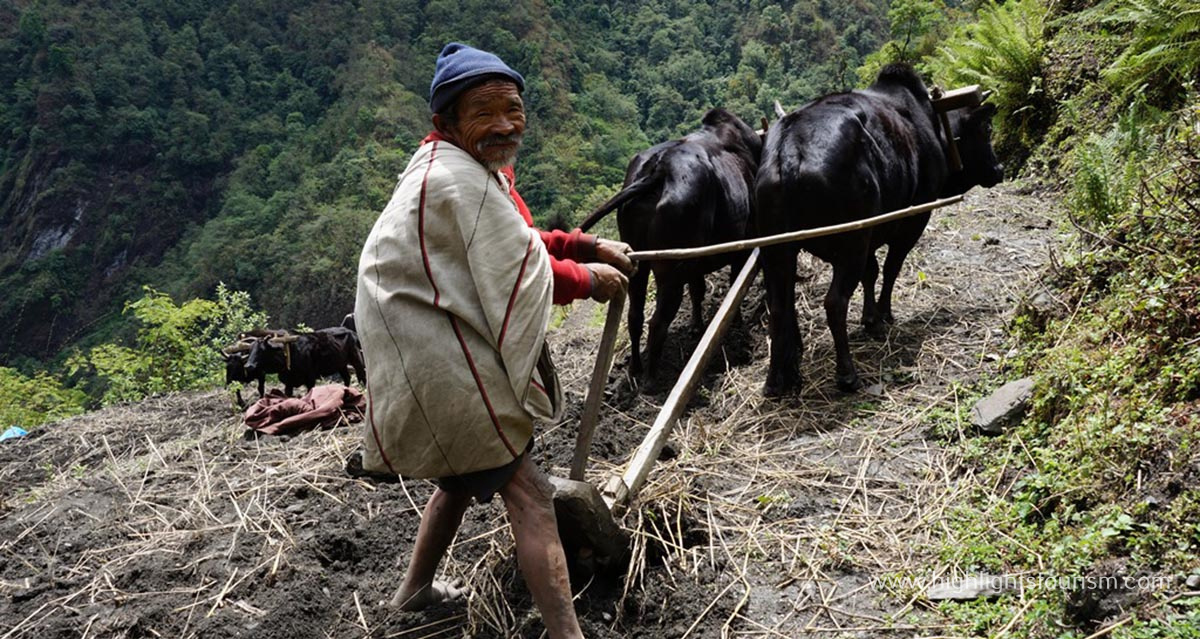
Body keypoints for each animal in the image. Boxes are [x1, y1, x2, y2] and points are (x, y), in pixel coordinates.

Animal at [578, 108, 758, 379]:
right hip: (673, 268)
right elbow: (736, 285)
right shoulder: (741, 248)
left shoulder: (697, 263)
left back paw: (635, 368)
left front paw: (696, 326)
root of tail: (659, 167)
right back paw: (652, 378)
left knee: (635, 316)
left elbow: (698, 290)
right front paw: (733, 322)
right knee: (657, 322)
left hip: (641, 263)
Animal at [758, 64, 1003, 393]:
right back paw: (847, 375)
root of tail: (789, 148)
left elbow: (871, 273)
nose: (999, 170)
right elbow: (890, 268)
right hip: (851, 241)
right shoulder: (912, 219)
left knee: (779, 306)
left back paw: (776, 381)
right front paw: (883, 315)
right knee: (834, 302)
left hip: (778, 250)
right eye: (986, 129)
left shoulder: (873, 232)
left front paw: (870, 318)